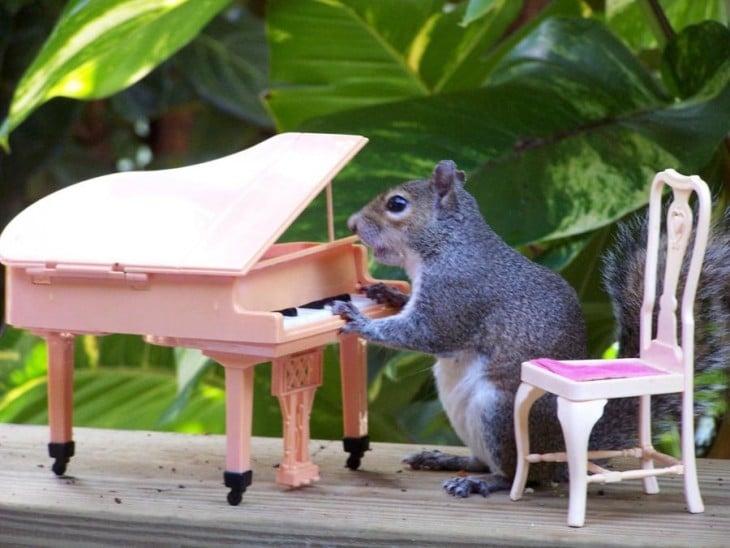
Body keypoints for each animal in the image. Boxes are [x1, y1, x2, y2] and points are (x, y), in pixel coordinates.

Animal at [332, 158, 728, 496]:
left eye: (397, 204)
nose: (351, 225)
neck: (448, 245)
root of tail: (563, 453)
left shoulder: (456, 296)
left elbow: (426, 333)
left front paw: (358, 320)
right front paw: (383, 292)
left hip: (498, 410)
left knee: (523, 475)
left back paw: (481, 482)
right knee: (486, 460)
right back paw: (444, 459)